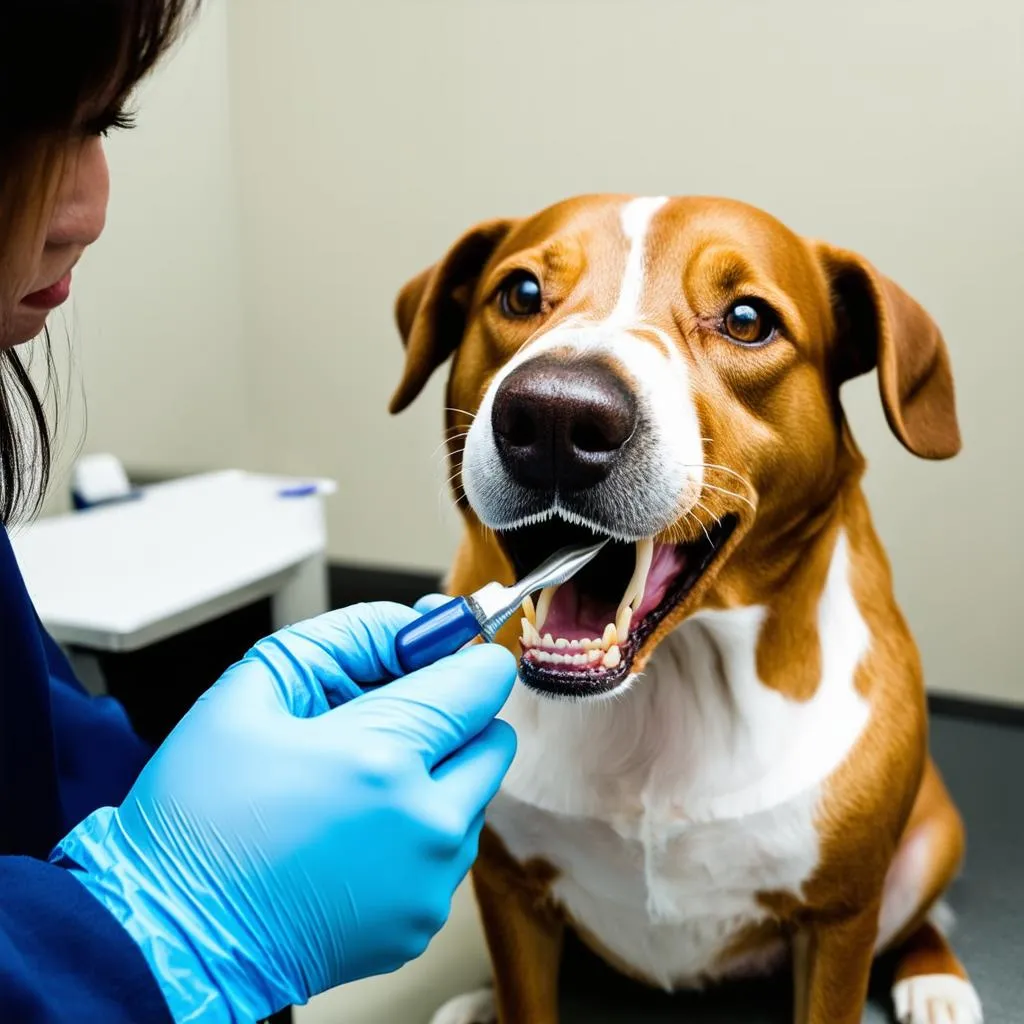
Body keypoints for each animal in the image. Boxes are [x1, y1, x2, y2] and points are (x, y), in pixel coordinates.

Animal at [387, 193, 978, 1024]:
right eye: (521, 294)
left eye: (748, 319)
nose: (558, 418)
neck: (670, 684)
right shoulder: (508, 893)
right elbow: (525, 990)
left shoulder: (840, 921)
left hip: (933, 837)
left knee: (920, 916)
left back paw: (935, 977)